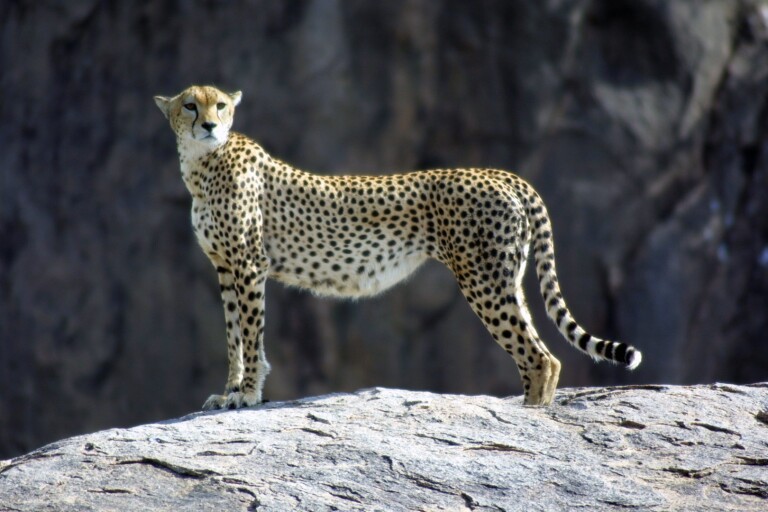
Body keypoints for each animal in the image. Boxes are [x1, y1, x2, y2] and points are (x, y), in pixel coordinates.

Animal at [154, 84, 642, 410]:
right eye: (190, 105)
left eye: (221, 105)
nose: (210, 125)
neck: (203, 165)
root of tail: (501, 173)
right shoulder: (225, 267)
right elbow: (233, 335)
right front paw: (230, 391)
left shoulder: (250, 264)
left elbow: (252, 334)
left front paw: (248, 395)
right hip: (507, 278)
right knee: (544, 355)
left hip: (483, 280)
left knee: (538, 356)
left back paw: (528, 416)